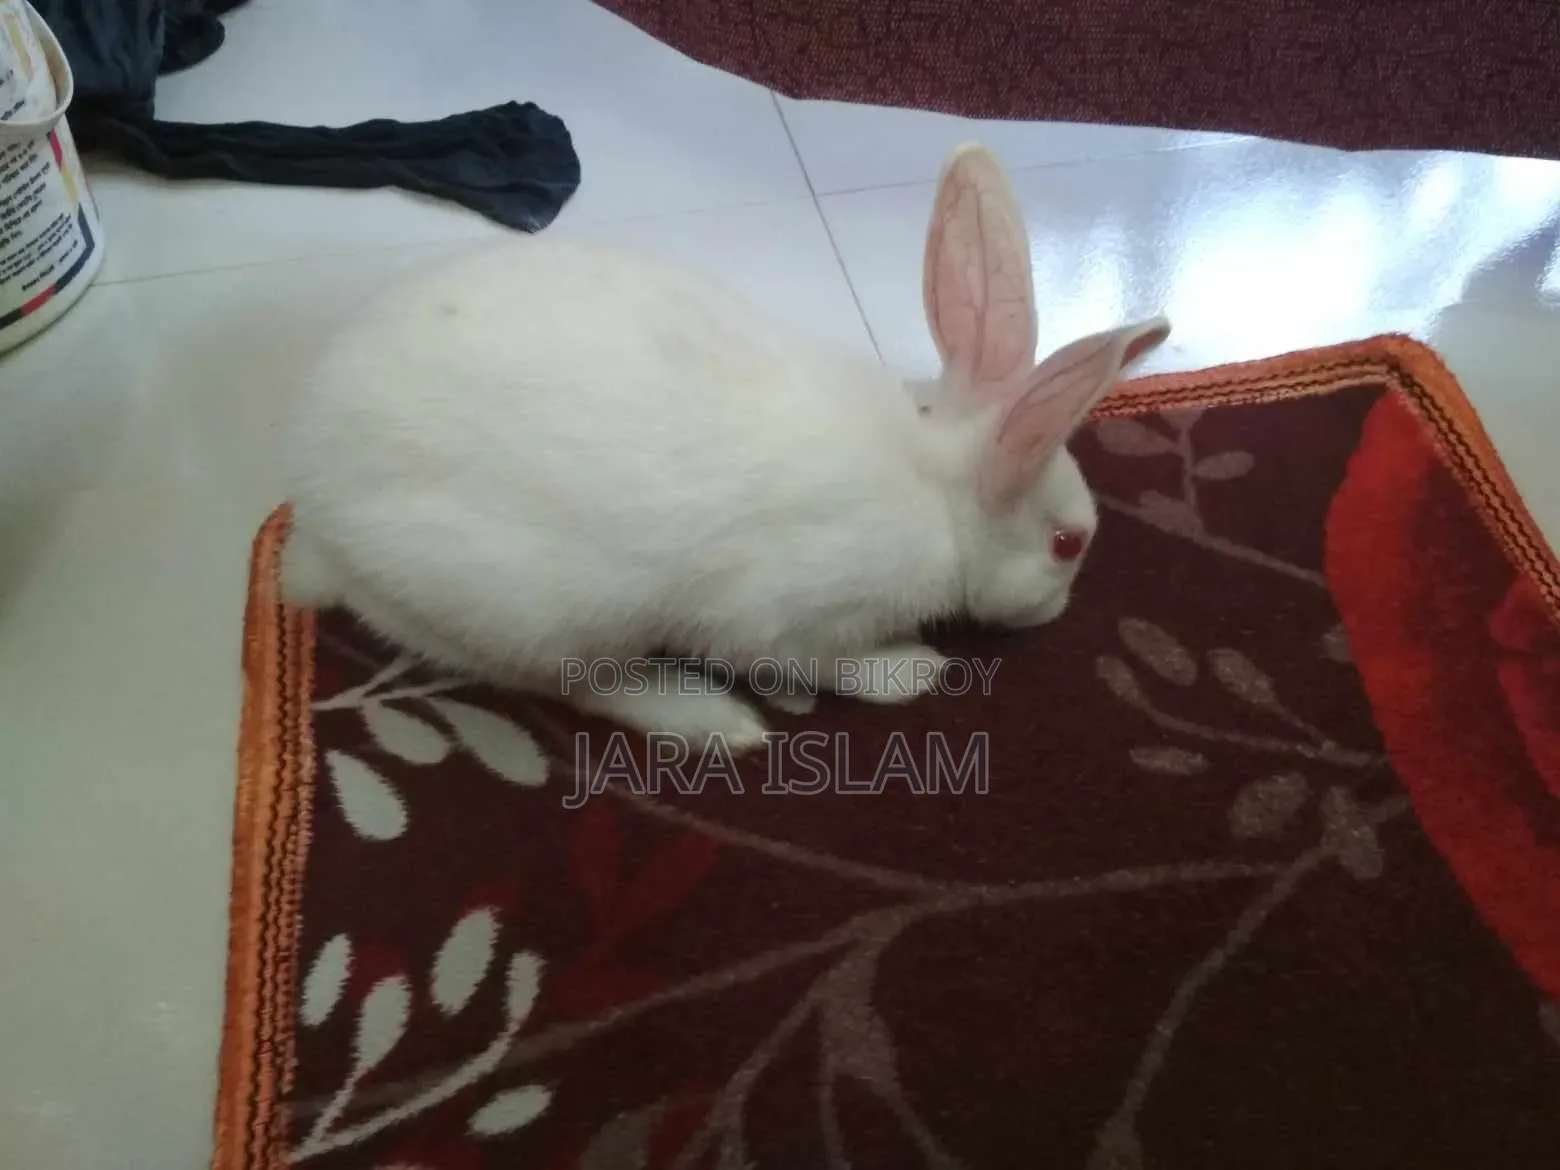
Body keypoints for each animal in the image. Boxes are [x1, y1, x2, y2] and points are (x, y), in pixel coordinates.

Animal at [280, 141, 1169, 752]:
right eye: (1066, 544)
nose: (1056, 612)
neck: (939, 492)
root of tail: (319, 528)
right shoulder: (791, 616)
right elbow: (807, 662)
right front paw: (910, 671)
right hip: (534, 612)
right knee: (580, 685)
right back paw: (719, 724)